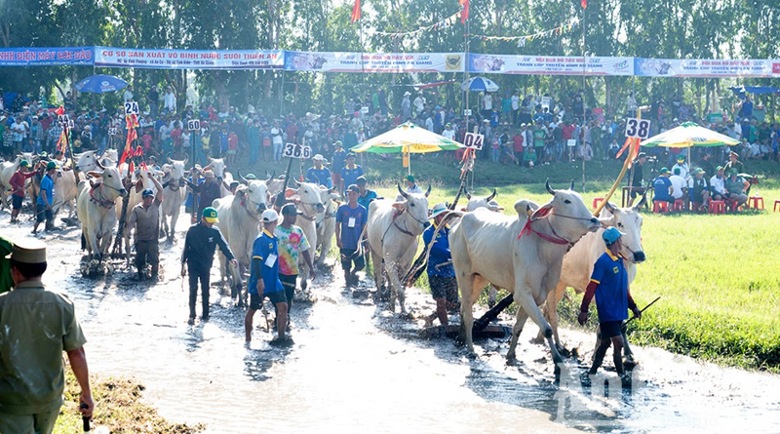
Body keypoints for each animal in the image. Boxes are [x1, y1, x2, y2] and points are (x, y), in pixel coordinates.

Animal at [368, 183, 432, 312]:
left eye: (426, 203)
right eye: (412, 204)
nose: (426, 224)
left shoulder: (406, 265)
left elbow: (397, 286)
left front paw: (397, 307)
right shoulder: (390, 262)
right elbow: (399, 289)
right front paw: (404, 312)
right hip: (375, 252)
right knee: (378, 275)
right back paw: (379, 295)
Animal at [448, 180, 600, 366]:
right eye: (567, 201)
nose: (594, 220)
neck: (542, 246)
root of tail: (459, 223)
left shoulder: (537, 295)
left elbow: (519, 327)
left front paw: (511, 355)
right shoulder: (523, 294)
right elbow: (546, 329)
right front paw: (557, 361)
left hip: (480, 278)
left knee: (464, 308)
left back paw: (461, 339)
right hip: (464, 275)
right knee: (468, 314)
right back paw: (470, 349)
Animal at [544, 197, 644, 352]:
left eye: (640, 222)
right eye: (620, 224)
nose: (639, 255)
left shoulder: (625, 287)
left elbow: (623, 322)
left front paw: (628, 352)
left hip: (561, 284)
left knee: (545, 309)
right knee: (551, 313)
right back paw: (558, 346)